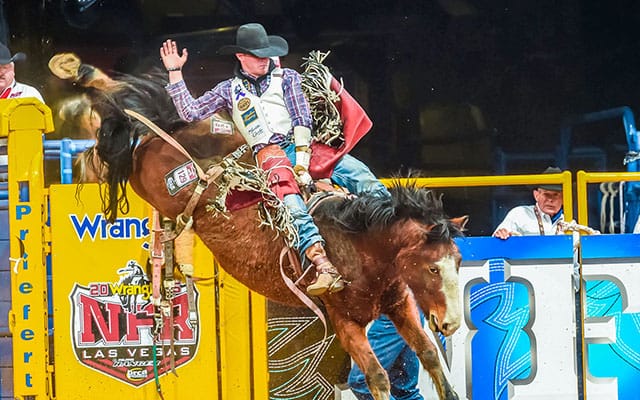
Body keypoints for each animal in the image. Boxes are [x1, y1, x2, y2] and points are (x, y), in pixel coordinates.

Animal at [61, 60, 464, 400]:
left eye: (458, 262)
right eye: (432, 268)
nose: (451, 323)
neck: (359, 244)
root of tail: (167, 135)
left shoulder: (399, 303)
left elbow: (430, 354)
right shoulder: (343, 320)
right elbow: (378, 376)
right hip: (148, 175)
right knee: (121, 142)